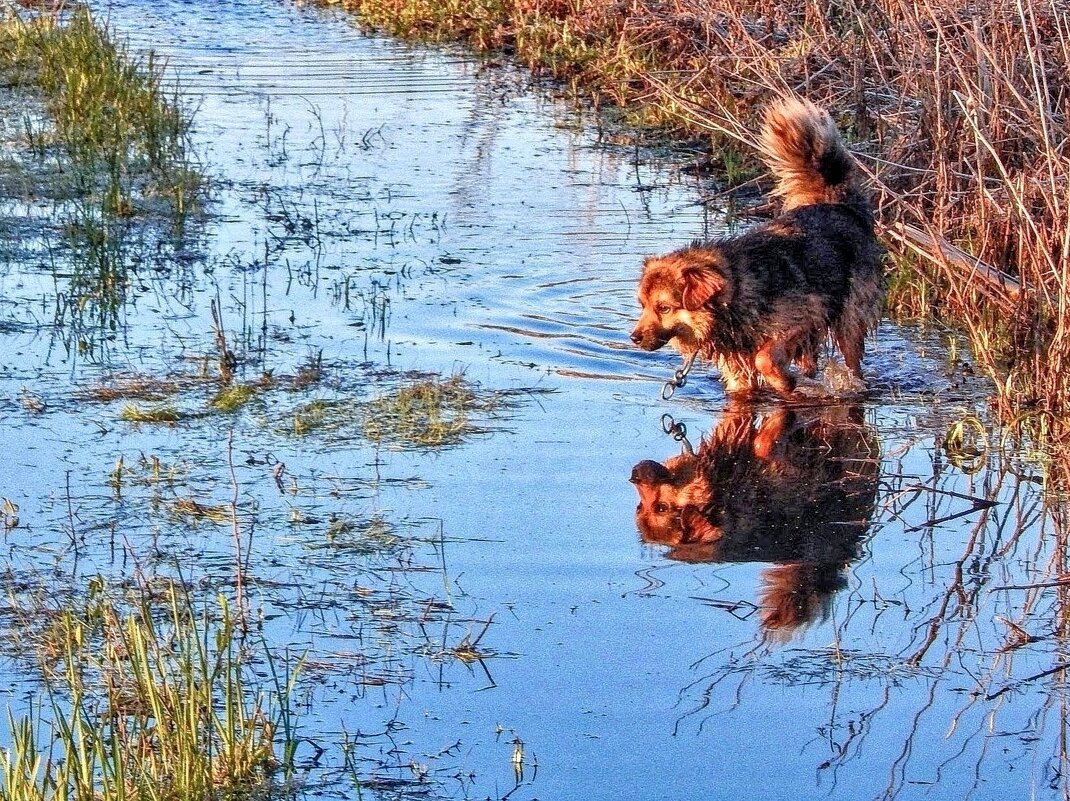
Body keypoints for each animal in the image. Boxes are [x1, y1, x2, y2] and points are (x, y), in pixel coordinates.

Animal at [629, 99, 881, 397]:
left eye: (664, 308)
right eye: (643, 305)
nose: (634, 337)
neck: (735, 295)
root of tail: (839, 204)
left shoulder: (808, 315)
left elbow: (764, 357)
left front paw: (785, 382)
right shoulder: (737, 370)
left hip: (850, 316)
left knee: (852, 355)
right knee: (811, 359)